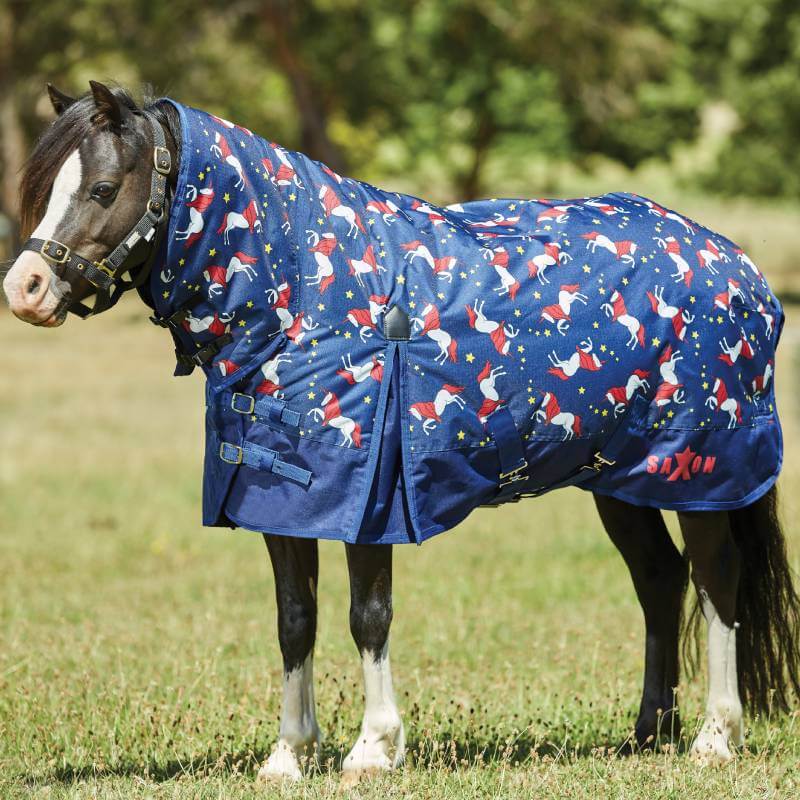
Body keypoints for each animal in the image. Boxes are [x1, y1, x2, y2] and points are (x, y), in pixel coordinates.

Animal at [3, 82, 799, 785]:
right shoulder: (283, 499)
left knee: (716, 577)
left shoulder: (368, 502)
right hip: (622, 477)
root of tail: (738, 267)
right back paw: (648, 733)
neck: (304, 298)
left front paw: (373, 749)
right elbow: (296, 620)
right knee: (660, 580)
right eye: (43, 188)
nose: (24, 290)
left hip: (700, 471)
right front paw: (289, 755)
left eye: (103, 189)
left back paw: (713, 738)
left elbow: (368, 616)